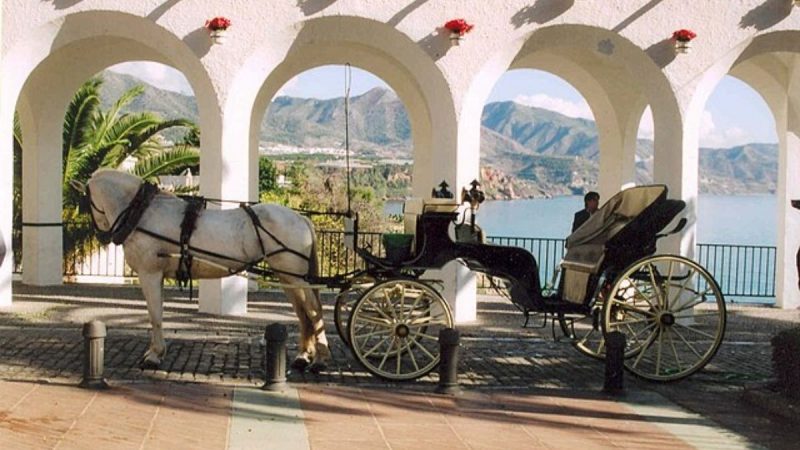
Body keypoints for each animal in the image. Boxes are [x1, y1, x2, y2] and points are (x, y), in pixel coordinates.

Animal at [71, 171, 328, 370]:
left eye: (85, 204)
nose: (103, 236)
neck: (143, 212)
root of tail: (301, 219)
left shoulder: (149, 273)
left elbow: (155, 315)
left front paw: (154, 355)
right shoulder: (157, 275)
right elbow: (157, 313)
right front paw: (157, 352)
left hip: (295, 275)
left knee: (313, 311)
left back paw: (321, 359)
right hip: (288, 276)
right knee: (303, 313)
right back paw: (303, 356)